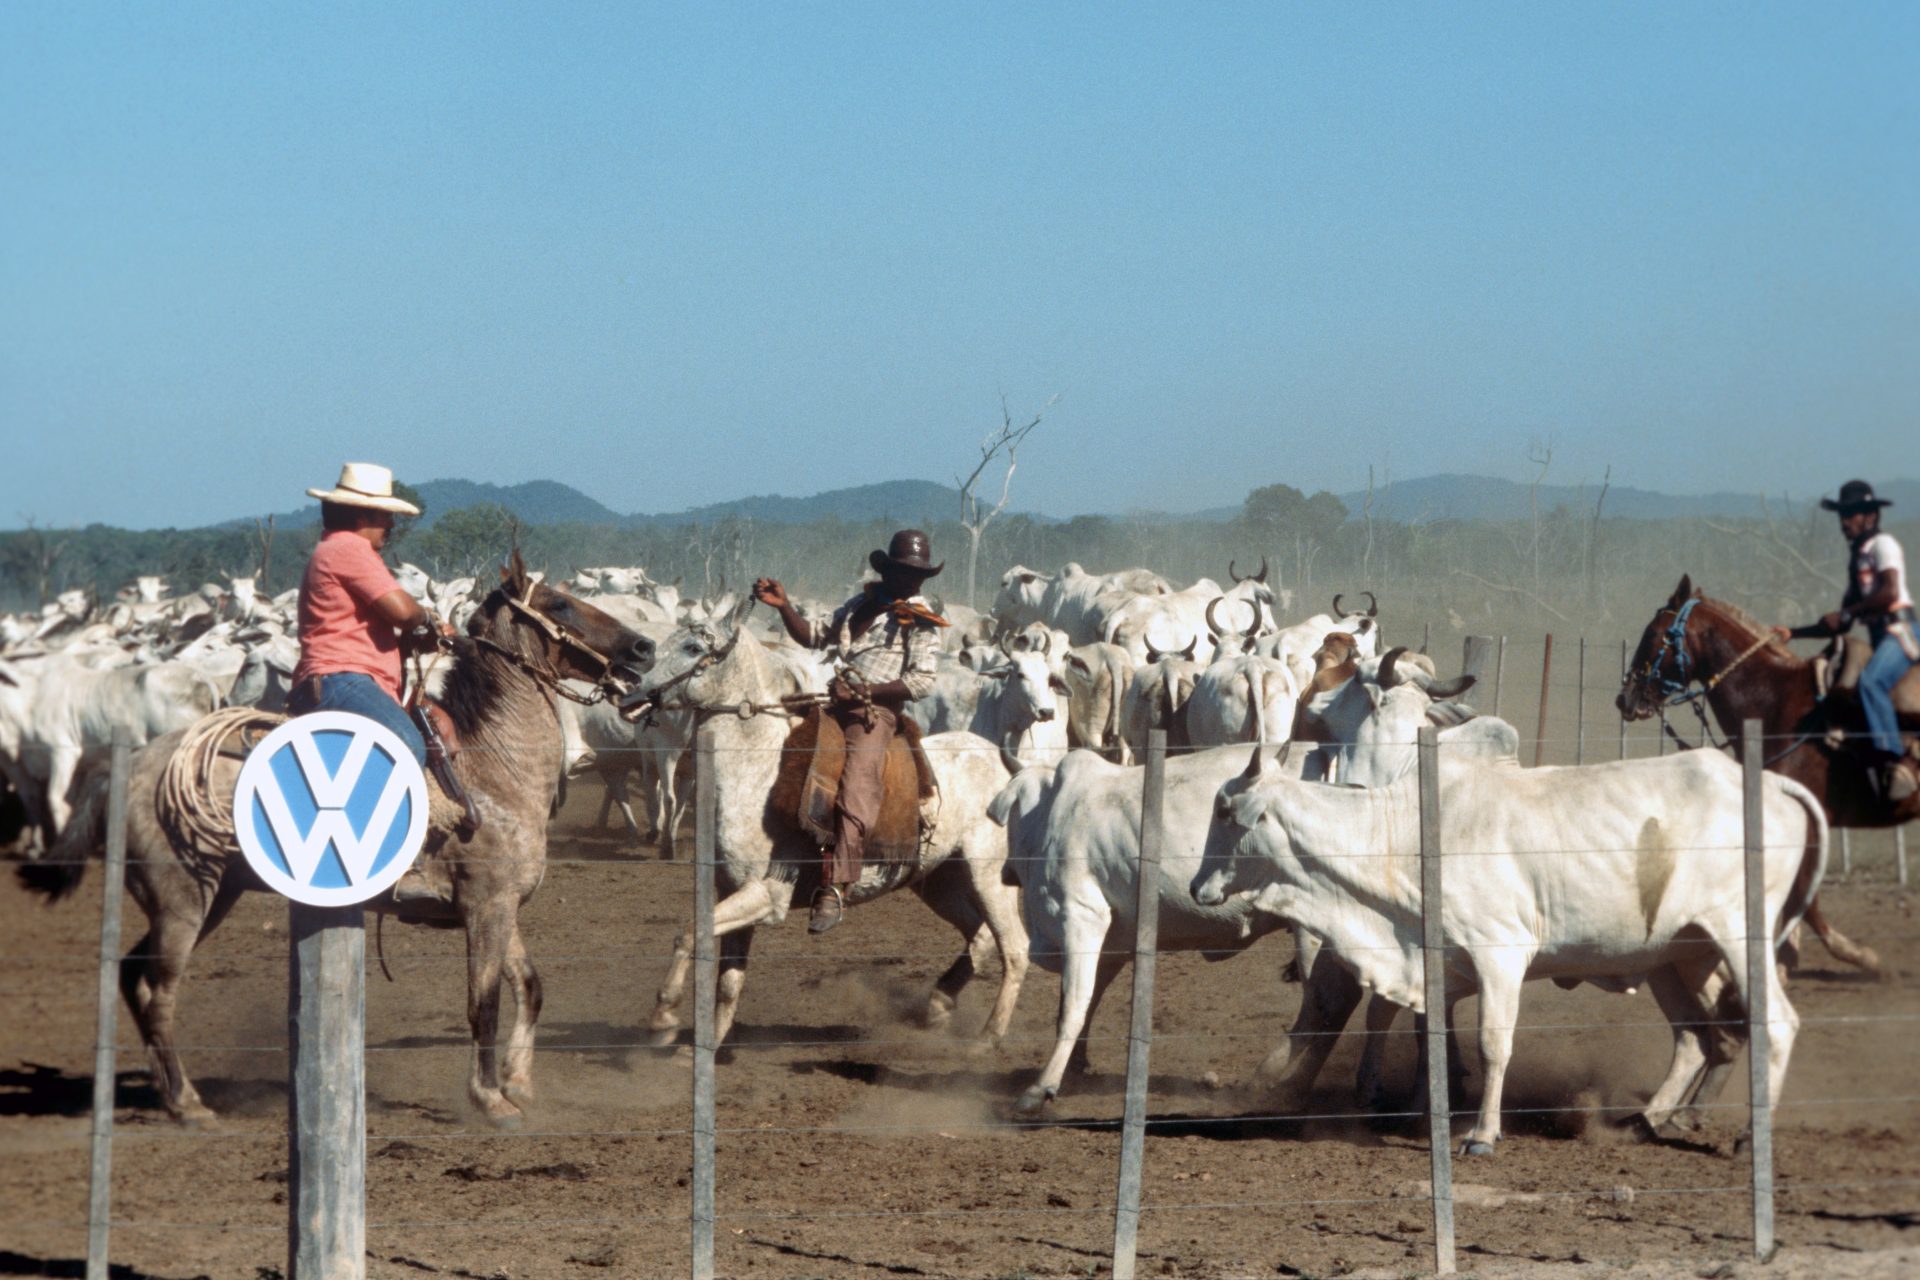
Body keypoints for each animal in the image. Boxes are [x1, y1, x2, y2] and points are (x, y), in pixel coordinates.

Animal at [20, 556, 645, 1128]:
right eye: (560, 604)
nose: (641, 649)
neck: (490, 765)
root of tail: (133, 767)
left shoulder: (501, 905)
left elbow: (529, 986)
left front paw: (517, 1081)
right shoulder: (484, 905)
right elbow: (482, 1003)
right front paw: (490, 1100)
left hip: (210, 897)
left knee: (132, 974)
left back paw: (164, 1092)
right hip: (183, 902)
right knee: (159, 990)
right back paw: (187, 1102)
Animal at [1182, 721, 1827, 1151]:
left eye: (1225, 810)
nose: (1197, 886)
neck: (1404, 839)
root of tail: (1768, 783)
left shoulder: (1501, 956)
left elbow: (1492, 1045)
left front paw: (1481, 1134)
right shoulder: (1441, 966)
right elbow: (1429, 1035)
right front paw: (1426, 1114)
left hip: (1739, 937)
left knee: (1773, 1025)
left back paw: (1745, 1137)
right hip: (1678, 956)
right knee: (1700, 1036)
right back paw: (1652, 1120)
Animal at [1612, 575, 1912, 974]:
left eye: (1654, 634)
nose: (1625, 698)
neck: (1776, 703)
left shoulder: (1811, 818)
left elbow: (1803, 894)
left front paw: (1855, 954)